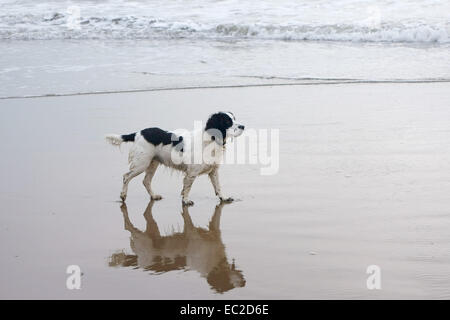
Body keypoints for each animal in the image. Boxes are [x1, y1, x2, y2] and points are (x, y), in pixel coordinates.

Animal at [106, 110, 244, 205]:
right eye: (227, 121)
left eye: (234, 119)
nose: (243, 126)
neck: (210, 139)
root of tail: (137, 133)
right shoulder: (191, 173)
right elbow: (187, 187)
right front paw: (186, 201)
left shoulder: (213, 171)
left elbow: (218, 187)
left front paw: (224, 198)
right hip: (142, 163)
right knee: (126, 177)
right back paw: (123, 195)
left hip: (152, 163)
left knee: (146, 181)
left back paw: (153, 196)